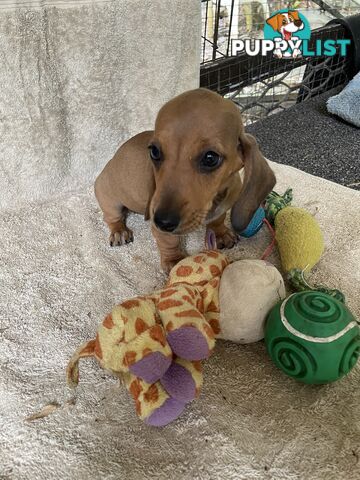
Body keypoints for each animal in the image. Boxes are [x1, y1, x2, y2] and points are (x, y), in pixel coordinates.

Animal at [94, 88, 274, 272]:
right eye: (154, 151)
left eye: (210, 158)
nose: (162, 221)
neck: (213, 199)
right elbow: (169, 240)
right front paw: (174, 260)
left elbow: (218, 219)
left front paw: (220, 233)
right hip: (110, 200)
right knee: (111, 218)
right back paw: (119, 231)